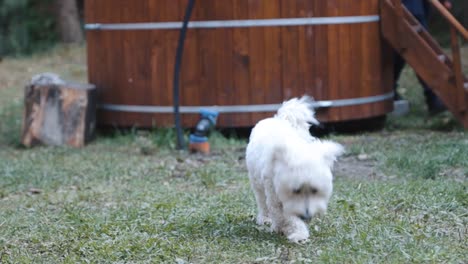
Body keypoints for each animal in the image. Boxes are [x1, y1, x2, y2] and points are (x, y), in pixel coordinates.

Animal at [245, 96, 344, 242]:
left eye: (315, 190)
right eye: (295, 191)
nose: (306, 216)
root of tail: (279, 119)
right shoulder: (275, 194)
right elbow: (287, 216)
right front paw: (299, 233)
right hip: (257, 182)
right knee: (262, 201)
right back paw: (266, 219)